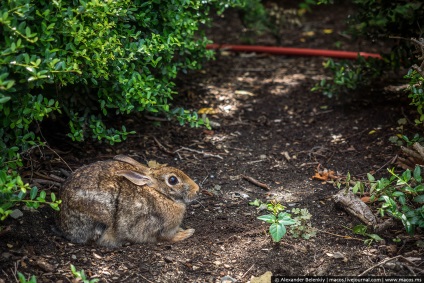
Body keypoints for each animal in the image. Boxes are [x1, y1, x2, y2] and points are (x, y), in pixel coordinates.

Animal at [58, 155, 200, 248]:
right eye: (172, 180)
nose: (197, 190)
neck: (160, 193)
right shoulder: (157, 226)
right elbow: (166, 238)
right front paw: (187, 233)